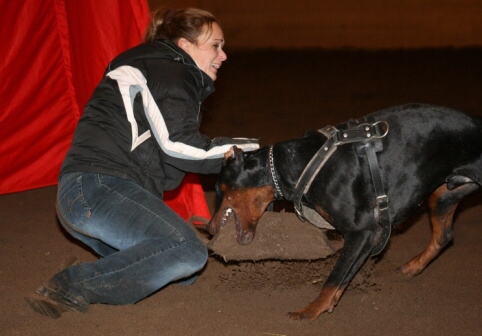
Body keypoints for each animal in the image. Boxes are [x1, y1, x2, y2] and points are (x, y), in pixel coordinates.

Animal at [207, 104, 482, 320]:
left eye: (220, 190)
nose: (209, 228)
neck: (299, 164)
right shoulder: (367, 237)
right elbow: (344, 274)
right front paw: (329, 303)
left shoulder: (363, 232)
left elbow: (334, 276)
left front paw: (310, 311)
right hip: (443, 195)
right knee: (443, 236)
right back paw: (412, 267)